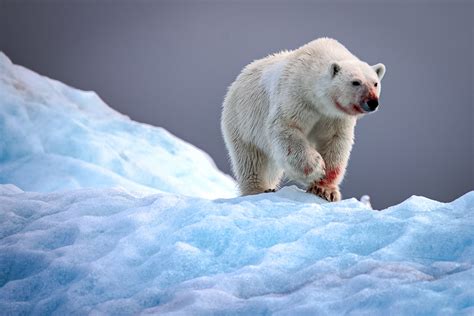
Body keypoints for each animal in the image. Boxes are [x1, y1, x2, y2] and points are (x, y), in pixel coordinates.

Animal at [220, 37, 386, 200]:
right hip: (243, 122)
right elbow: (286, 127)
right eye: (355, 82)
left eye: (375, 83)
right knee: (252, 160)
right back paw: (258, 189)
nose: (372, 102)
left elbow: (335, 142)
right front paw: (317, 168)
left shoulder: (335, 117)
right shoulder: (296, 96)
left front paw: (325, 190)